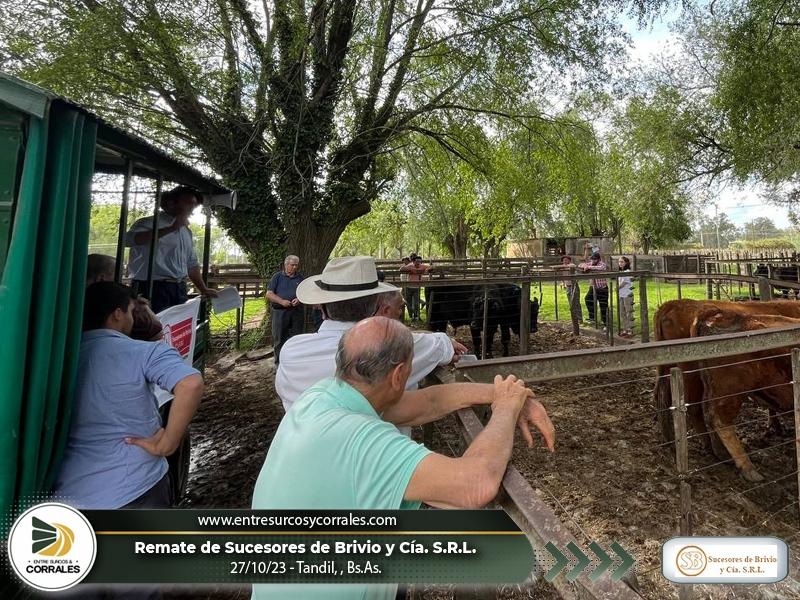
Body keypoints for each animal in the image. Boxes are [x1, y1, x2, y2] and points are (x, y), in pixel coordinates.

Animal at [653, 299, 800, 452]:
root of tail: (671, 304)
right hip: (692, 374)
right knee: (695, 407)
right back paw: (709, 446)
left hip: (667, 370)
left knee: (662, 397)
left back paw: (670, 441)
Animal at [690, 309, 800, 482]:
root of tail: (715, 315)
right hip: (731, 390)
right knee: (720, 419)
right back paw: (749, 469)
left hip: (712, 387)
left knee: (707, 412)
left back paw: (722, 455)